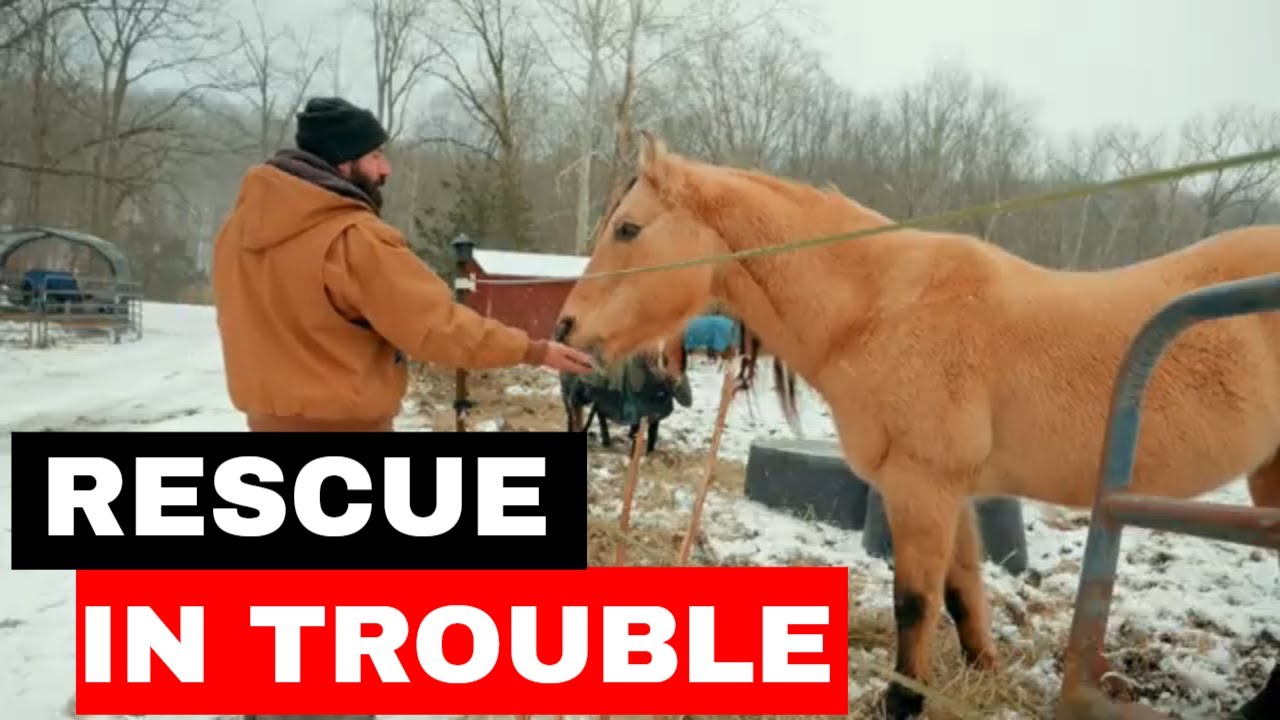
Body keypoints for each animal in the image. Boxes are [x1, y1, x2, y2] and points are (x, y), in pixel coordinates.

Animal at [552, 131, 1280, 720]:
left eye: (627, 229)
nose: (564, 328)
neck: (883, 309)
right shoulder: (955, 495)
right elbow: (963, 596)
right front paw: (979, 675)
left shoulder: (921, 488)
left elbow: (915, 602)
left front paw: (902, 700)